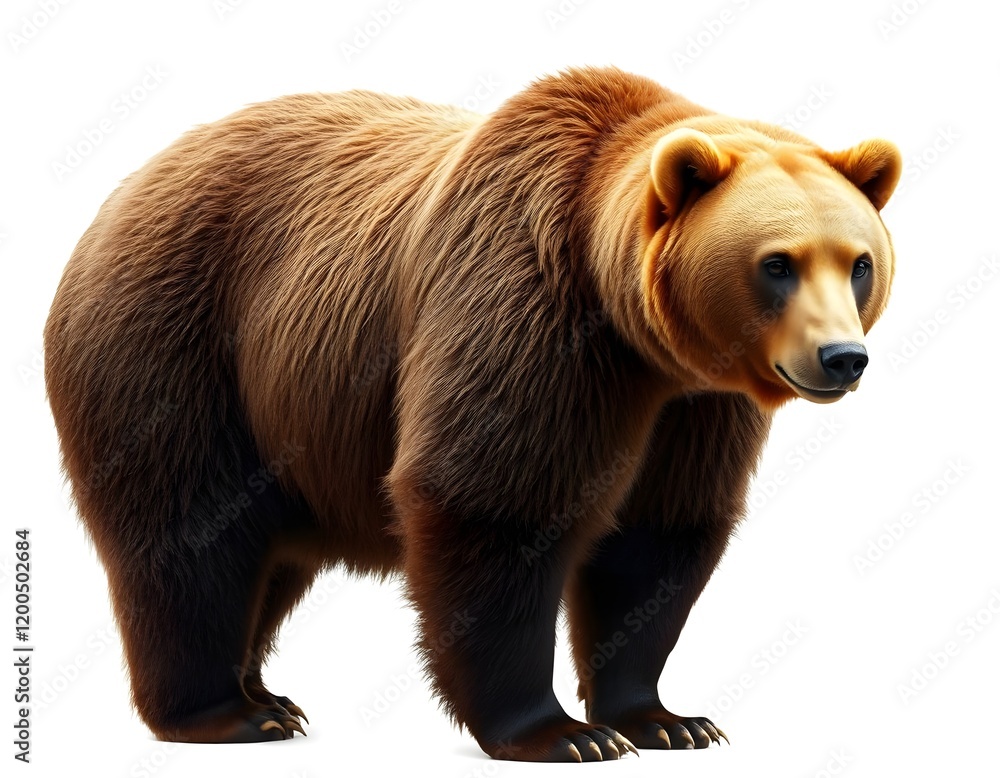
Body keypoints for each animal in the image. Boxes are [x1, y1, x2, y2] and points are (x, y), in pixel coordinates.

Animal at [43, 67, 900, 762]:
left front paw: (665, 719)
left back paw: (265, 695)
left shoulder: (693, 407)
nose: (841, 359)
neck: (631, 339)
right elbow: (492, 505)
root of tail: (122, 191)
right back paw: (225, 713)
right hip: (177, 349)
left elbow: (658, 538)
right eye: (778, 264)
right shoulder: (525, 309)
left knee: (266, 551)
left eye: (859, 262)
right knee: (190, 536)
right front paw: (560, 732)